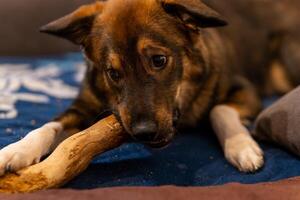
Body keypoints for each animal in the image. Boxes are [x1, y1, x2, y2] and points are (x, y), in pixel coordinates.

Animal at [0, 0, 300, 175]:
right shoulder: (83, 106)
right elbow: (49, 126)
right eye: (112, 73)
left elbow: (219, 111)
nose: (144, 133)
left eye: (158, 60)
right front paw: (17, 150)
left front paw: (240, 146)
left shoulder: (245, 89)